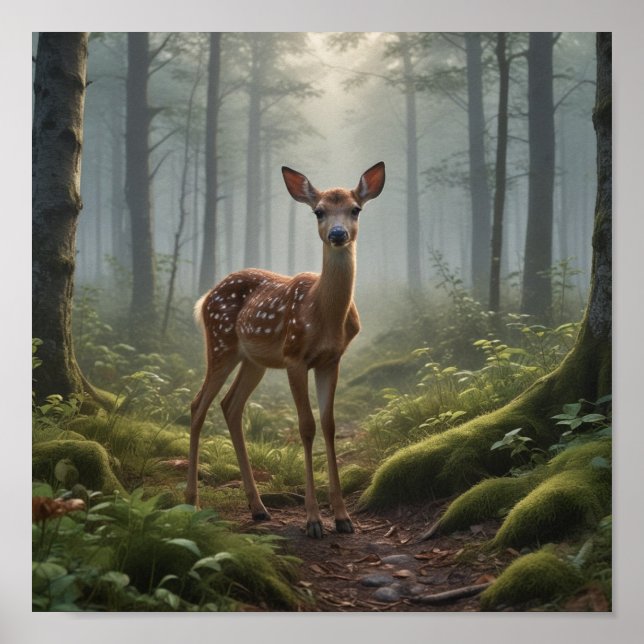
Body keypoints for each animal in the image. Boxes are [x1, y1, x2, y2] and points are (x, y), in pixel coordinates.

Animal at [186, 162, 385, 538]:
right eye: (318, 211)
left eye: (355, 209)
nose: (338, 233)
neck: (323, 314)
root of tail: (204, 298)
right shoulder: (295, 357)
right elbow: (306, 426)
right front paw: (313, 520)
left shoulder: (331, 360)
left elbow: (329, 425)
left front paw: (343, 517)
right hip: (220, 344)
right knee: (197, 405)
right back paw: (191, 501)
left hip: (254, 360)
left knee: (230, 405)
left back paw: (259, 507)